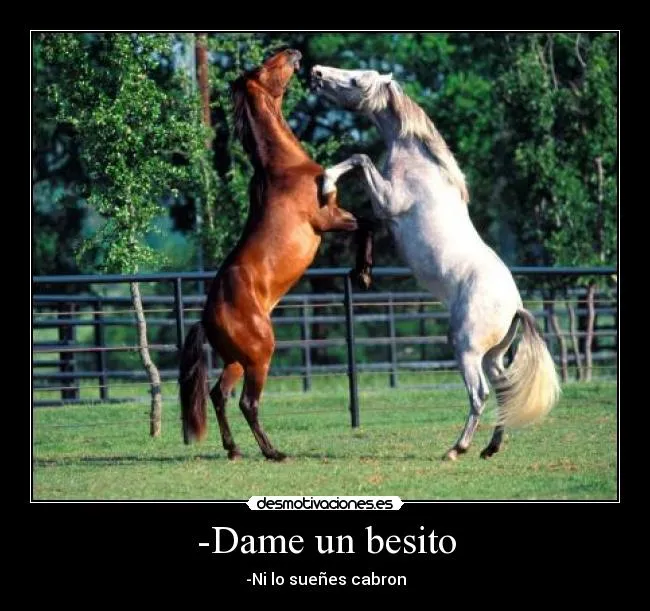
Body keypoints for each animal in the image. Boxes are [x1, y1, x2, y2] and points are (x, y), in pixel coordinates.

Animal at [179, 50, 368, 461]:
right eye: (266, 65)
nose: (293, 52)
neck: (283, 167)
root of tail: (207, 317)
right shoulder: (327, 219)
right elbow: (366, 221)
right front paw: (362, 271)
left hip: (237, 360)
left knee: (219, 395)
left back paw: (234, 450)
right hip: (260, 356)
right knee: (246, 402)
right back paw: (273, 452)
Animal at [311, 65, 561, 460]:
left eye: (355, 80)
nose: (316, 72)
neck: (420, 164)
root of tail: (515, 307)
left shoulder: (388, 200)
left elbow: (360, 158)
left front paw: (326, 182)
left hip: (466, 348)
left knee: (480, 394)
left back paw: (457, 449)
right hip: (491, 356)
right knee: (504, 389)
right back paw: (490, 448)